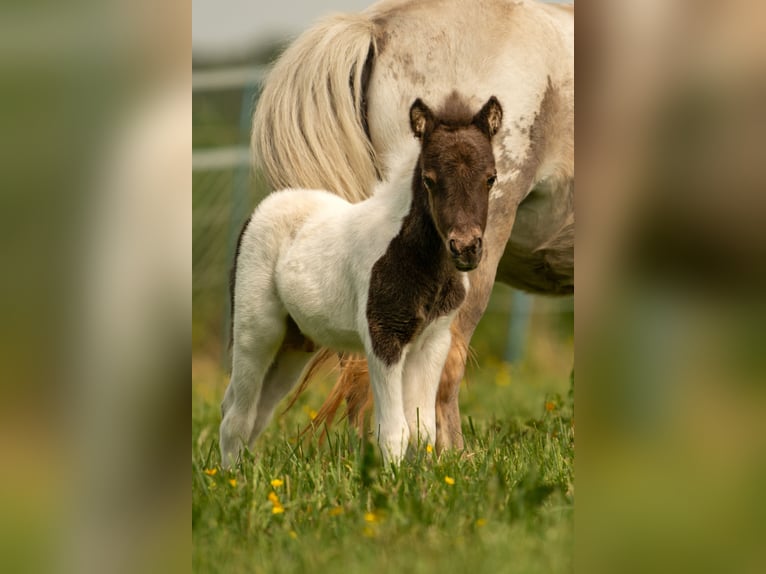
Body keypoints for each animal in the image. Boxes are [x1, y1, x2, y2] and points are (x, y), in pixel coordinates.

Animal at [220, 93, 504, 464]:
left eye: (491, 178)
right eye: (429, 179)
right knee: (236, 416)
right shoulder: (383, 338)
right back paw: (230, 475)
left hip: (294, 344)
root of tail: (261, 209)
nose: (466, 247)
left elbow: (422, 428)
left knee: (257, 410)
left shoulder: (434, 341)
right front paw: (392, 477)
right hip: (257, 332)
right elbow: (394, 431)